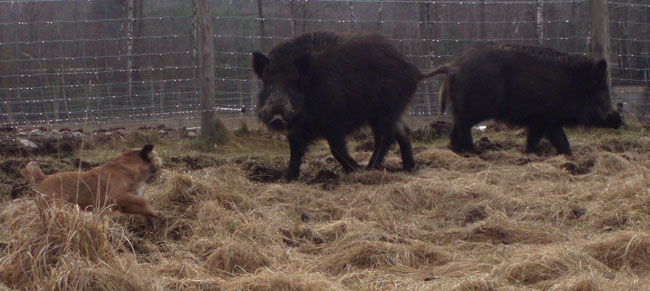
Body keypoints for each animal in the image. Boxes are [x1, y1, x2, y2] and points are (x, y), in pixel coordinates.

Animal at [20, 145, 162, 218]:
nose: (161, 164)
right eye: (156, 156)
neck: (128, 166)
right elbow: (142, 201)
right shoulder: (118, 196)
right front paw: (155, 212)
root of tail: (42, 178)